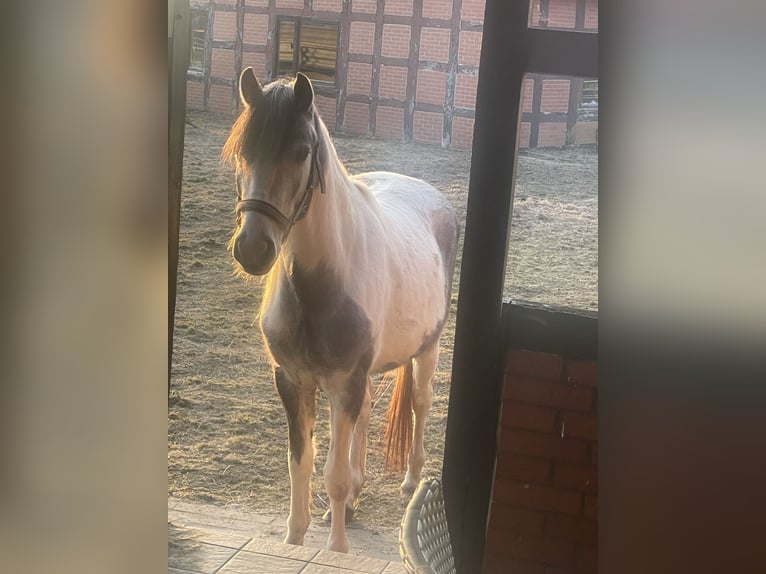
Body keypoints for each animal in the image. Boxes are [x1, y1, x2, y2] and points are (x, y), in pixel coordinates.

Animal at [222, 68, 459, 554]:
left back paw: (410, 481)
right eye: (242, 152)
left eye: (301, 151)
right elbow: (301, 465)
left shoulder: (343, 381)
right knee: (366, 413)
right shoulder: (294, 381)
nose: (252, 249)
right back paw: (353, 498)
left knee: (420, 403)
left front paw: (337, 550)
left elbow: (330, 474)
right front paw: (296, 537)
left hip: (426, 349)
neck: (318, 290)